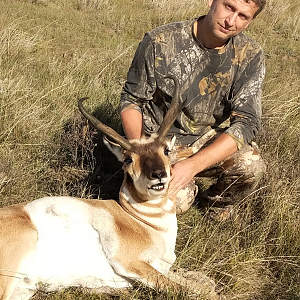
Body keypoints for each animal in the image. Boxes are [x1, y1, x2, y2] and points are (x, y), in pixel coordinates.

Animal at [0, 77, 220, 300]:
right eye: (128, 159)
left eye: (166, 150)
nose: (158, 174)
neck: (141, 222)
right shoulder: (132, 264)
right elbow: (197, 291)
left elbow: (203, 284)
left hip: (23, 291)